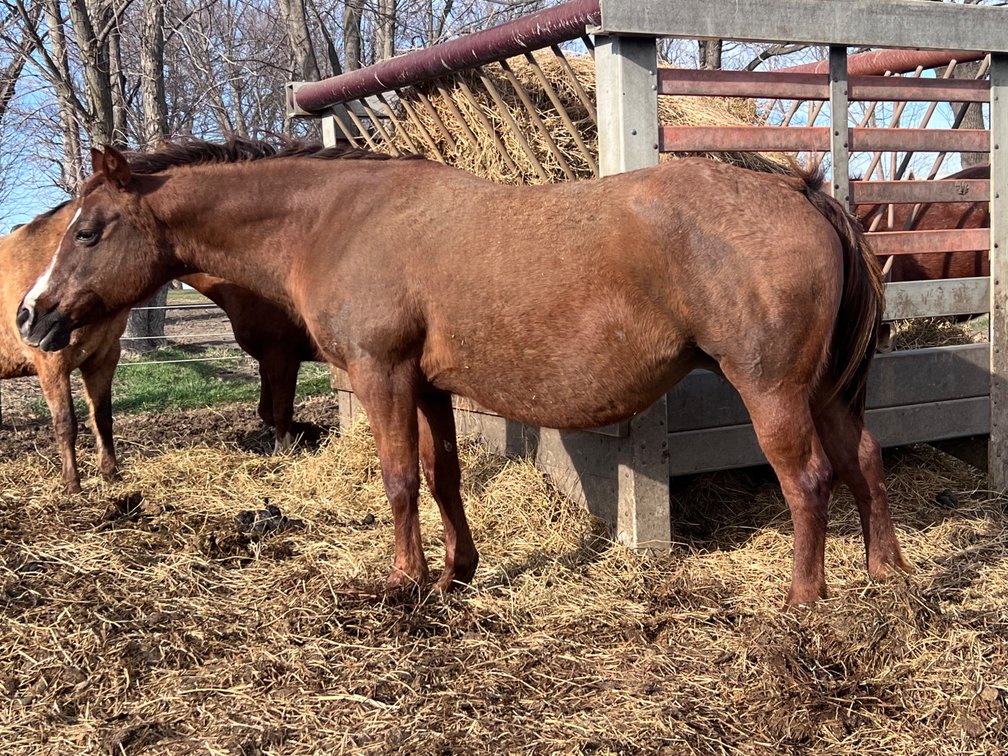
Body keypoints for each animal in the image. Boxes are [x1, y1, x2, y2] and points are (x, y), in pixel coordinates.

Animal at [0, 202, 126, 493]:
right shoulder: (52, 364)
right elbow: (65, 423)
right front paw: (72, 485)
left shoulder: (102, 359)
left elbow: (102, 418)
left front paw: (110, 473)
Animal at [17, 138, 911, 605]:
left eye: (89, 231)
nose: (31, 315)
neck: (336, 219)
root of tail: (802, 191)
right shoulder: (427, 387)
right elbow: (443, 477)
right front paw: (456, 572)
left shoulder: (382, 376)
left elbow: (399, 480)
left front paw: (405, 581)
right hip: (829, 394)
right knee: (864, 464)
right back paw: (886, 574)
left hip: (772, 391)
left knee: (810, 481)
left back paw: (803, 602)